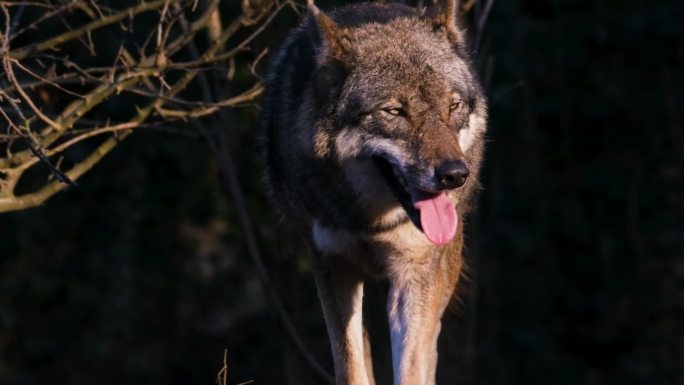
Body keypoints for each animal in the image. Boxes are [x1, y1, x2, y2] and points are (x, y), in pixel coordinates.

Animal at [260, 1, 486, 382]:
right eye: (395, 111)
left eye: (453, 106)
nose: (455, 175)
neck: (369, 223)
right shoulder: (332, 264)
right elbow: (350, 365)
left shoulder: (416, 271)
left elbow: (412, 367)